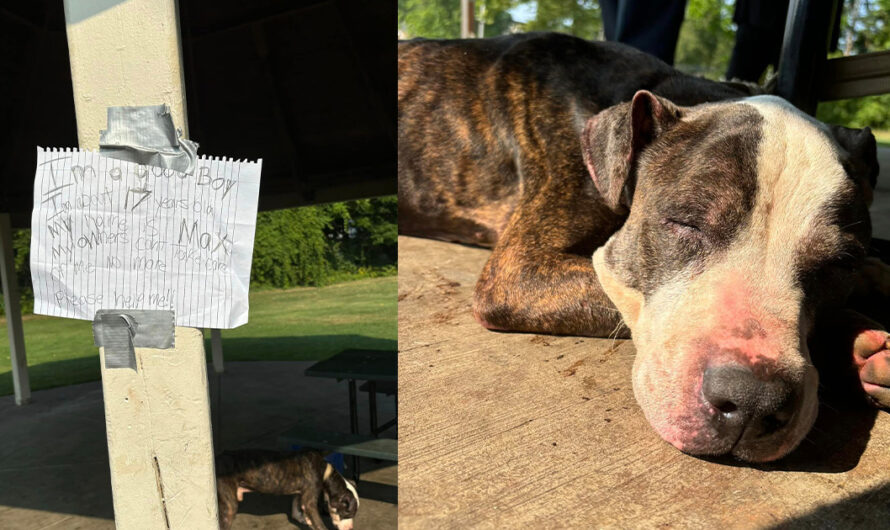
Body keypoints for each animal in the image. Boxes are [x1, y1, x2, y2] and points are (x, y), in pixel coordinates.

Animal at [217, 450, 360, 528]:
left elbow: (296, 505)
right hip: (230, 506)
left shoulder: (301, 493)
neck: (326, 471)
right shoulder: (309, 502)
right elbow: (319, 524)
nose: (351, 528)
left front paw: (304, 519)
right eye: (348, 514)